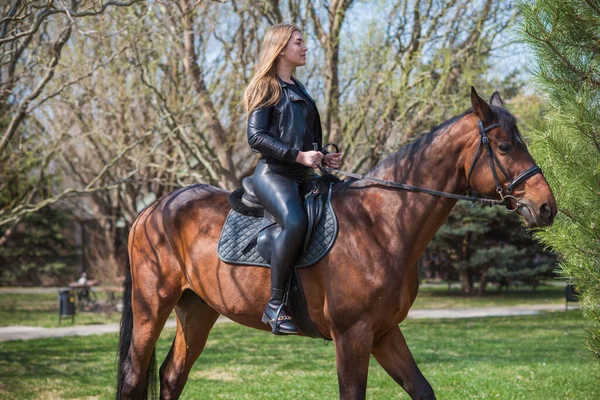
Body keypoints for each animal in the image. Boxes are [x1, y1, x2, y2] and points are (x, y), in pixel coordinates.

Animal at [115, 89, 556, 398]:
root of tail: (152, 210)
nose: (546, 207)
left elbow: (422, 389)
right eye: (504, 147)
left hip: (197, 310)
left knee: (172, 375)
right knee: (135, 377)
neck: (380, 223)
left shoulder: (383, 332)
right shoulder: (352, 335)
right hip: (151, 307)